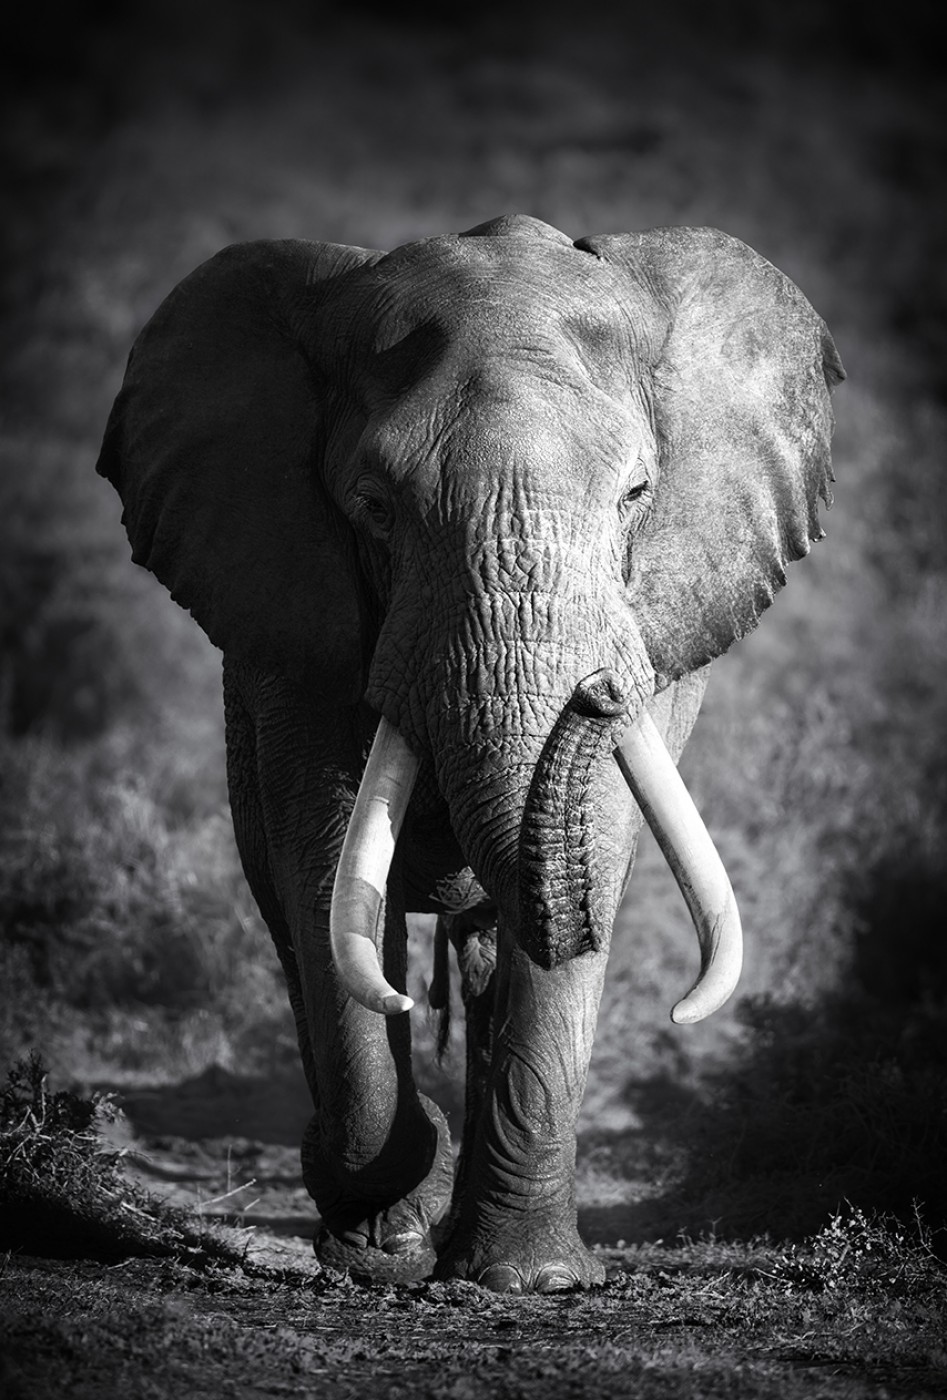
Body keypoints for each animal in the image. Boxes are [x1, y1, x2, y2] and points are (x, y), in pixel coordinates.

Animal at [97, 214, 843, 1293]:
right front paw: (381, 1240)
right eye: (373, 506)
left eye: (636, 494)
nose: (597, 691)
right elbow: (322, 861)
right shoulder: (291, 623)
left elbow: (596, 845)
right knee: (291, 914)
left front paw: (528, 1280)